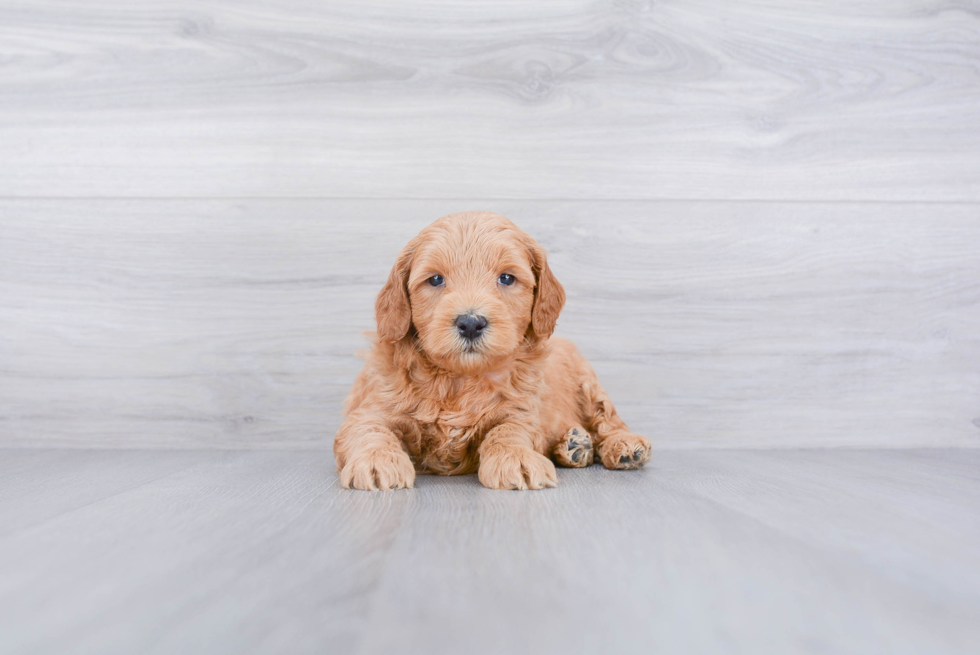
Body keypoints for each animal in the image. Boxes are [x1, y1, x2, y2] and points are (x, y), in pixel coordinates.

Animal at [334, 213, 652, 490]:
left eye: (507, 278)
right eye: (435, 279)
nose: (470, 323)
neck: (460, 379)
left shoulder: (520, 412)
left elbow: (507, 431)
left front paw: (517, 459)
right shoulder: (371, 407)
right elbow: (370, 430)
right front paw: (376, 462)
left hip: (587, 381)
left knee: (607, 420)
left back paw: (623, 445)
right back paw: (573, 445)